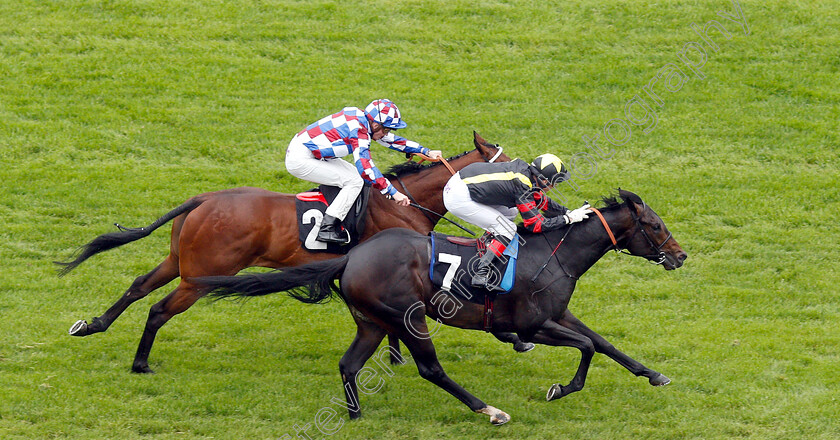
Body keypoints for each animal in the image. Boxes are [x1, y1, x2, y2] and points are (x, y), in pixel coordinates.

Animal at [57, 132, 512, 372]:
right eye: (512, 166)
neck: (406, 204)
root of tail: (203, 199)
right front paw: (397, 355)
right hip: (200, 275)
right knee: (159, 309)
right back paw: (140, 363)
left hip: (178, 262)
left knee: (138, 286)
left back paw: (92, 325)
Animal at [199, 190, 688, 426]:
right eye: (654, 225)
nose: (680, 256)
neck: (553, 252)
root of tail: (352, 256)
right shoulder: (532, 325)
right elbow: (586, 347)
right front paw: (560, 389)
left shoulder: (557, 314)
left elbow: (603, 342)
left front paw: (654, 374)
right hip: (408, 318)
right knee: (430, 369)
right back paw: (489, 411)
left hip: (371, 322)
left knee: (349, 364)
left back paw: (356, 414)